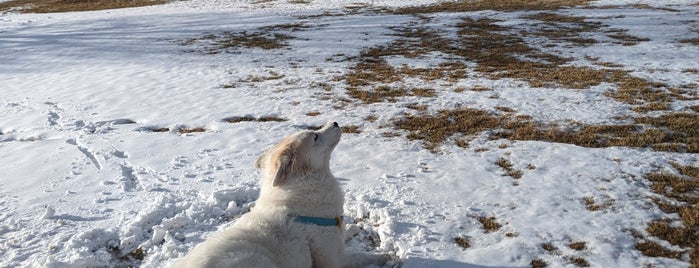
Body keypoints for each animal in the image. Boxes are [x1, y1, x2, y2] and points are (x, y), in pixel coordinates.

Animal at [172, 122, 386, 266]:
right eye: (315, 136)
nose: (334, 122)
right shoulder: (334, 259)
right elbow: (360, 256)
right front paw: (384, 257)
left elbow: (345, 233)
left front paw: (352, 229)